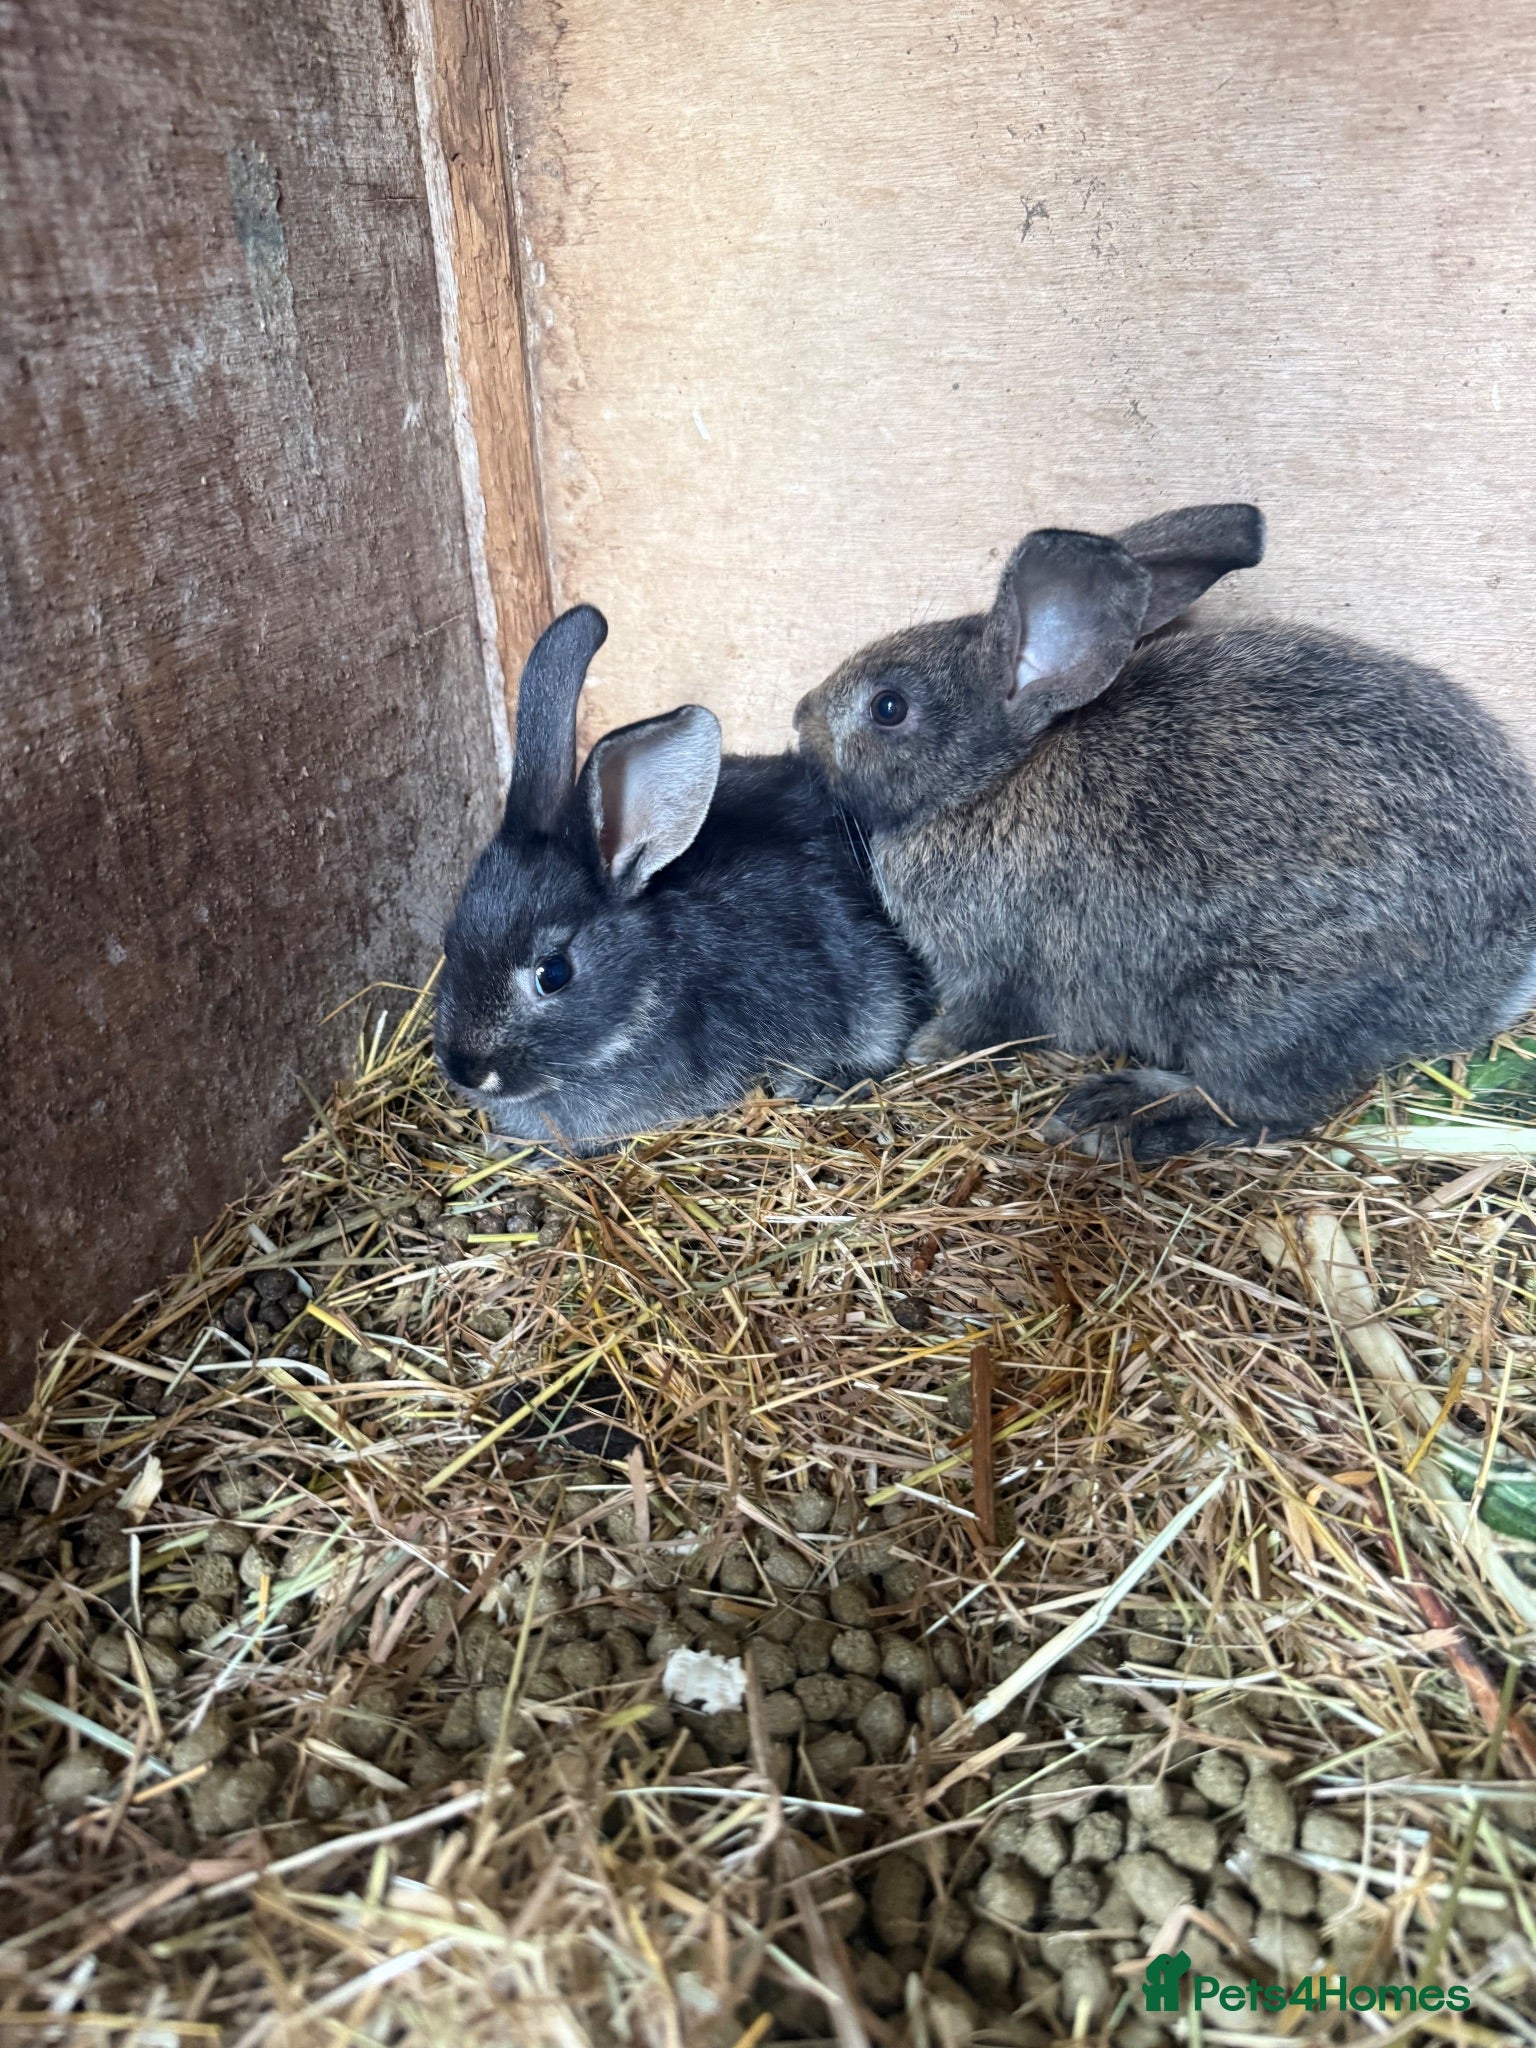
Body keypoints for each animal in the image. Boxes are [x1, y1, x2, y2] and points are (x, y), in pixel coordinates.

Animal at [793, 503, 1536, 1160]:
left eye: (889, 708)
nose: (801, 714)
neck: (994, 776)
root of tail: (1499, 977)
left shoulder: (996, 966)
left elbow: (987, 1023)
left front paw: (928, 1047)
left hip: (1258, 1006)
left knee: (1261, 1109)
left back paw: (1118, 1114)